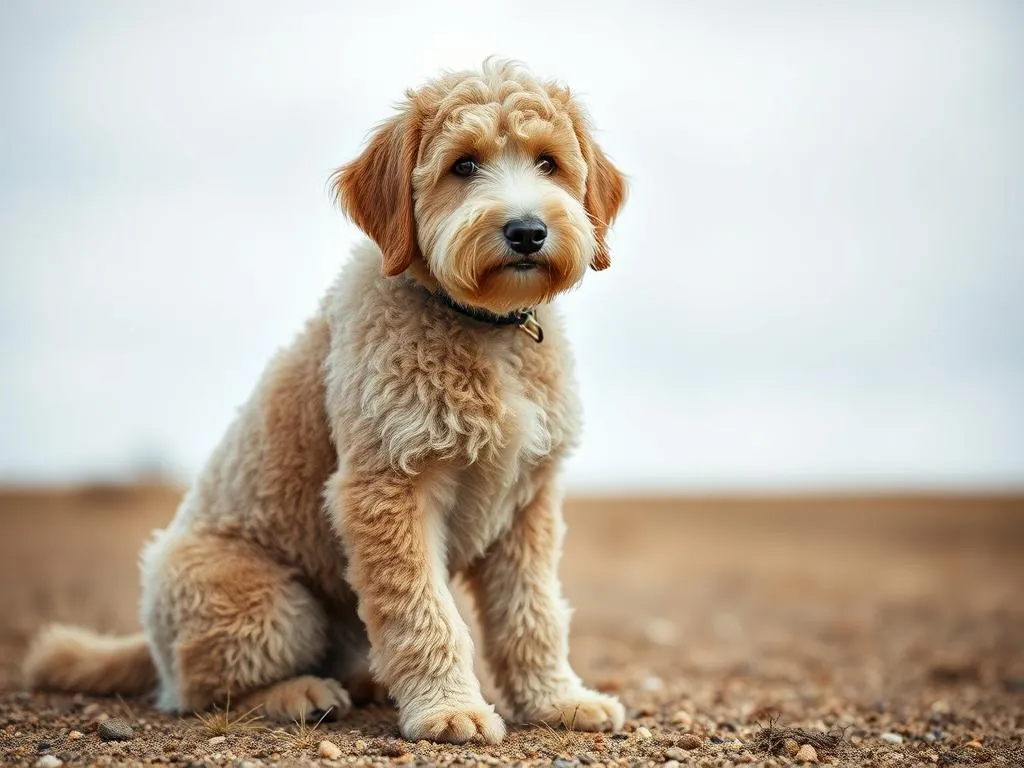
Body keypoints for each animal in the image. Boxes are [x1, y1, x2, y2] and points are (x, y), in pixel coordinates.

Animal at [24, 60, 626, 745]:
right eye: (464, 165)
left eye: (549, 162)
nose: (527, 230)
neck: (482, 326)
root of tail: (151, 645)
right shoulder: (387, 484)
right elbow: (422, 611)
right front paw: (449, 709)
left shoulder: (529, 502)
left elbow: (533, 613)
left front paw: (558, 700)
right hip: (266, 603)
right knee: (199, 691)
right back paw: (298, 694)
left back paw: (369, 684)